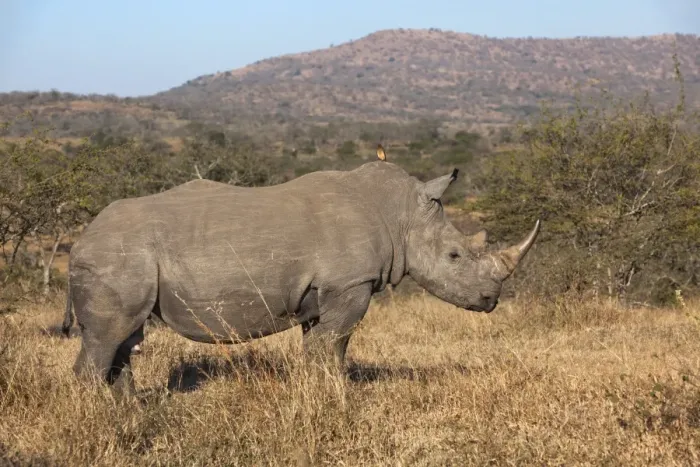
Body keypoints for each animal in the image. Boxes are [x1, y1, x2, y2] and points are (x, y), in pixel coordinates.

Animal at [62, 160, 540, 392]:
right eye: (454, 256)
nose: (490, 300)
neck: (400, 213)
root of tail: (79, 242)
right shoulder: (350, 284)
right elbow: (335, 346)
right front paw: (339, 398)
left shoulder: (324, 292)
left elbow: (321, 348)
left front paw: (321, 393)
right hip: (115, 257)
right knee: (108, 337)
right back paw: (97, 419)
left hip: (119, 258)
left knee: (125, 337)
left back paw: (129, 414)